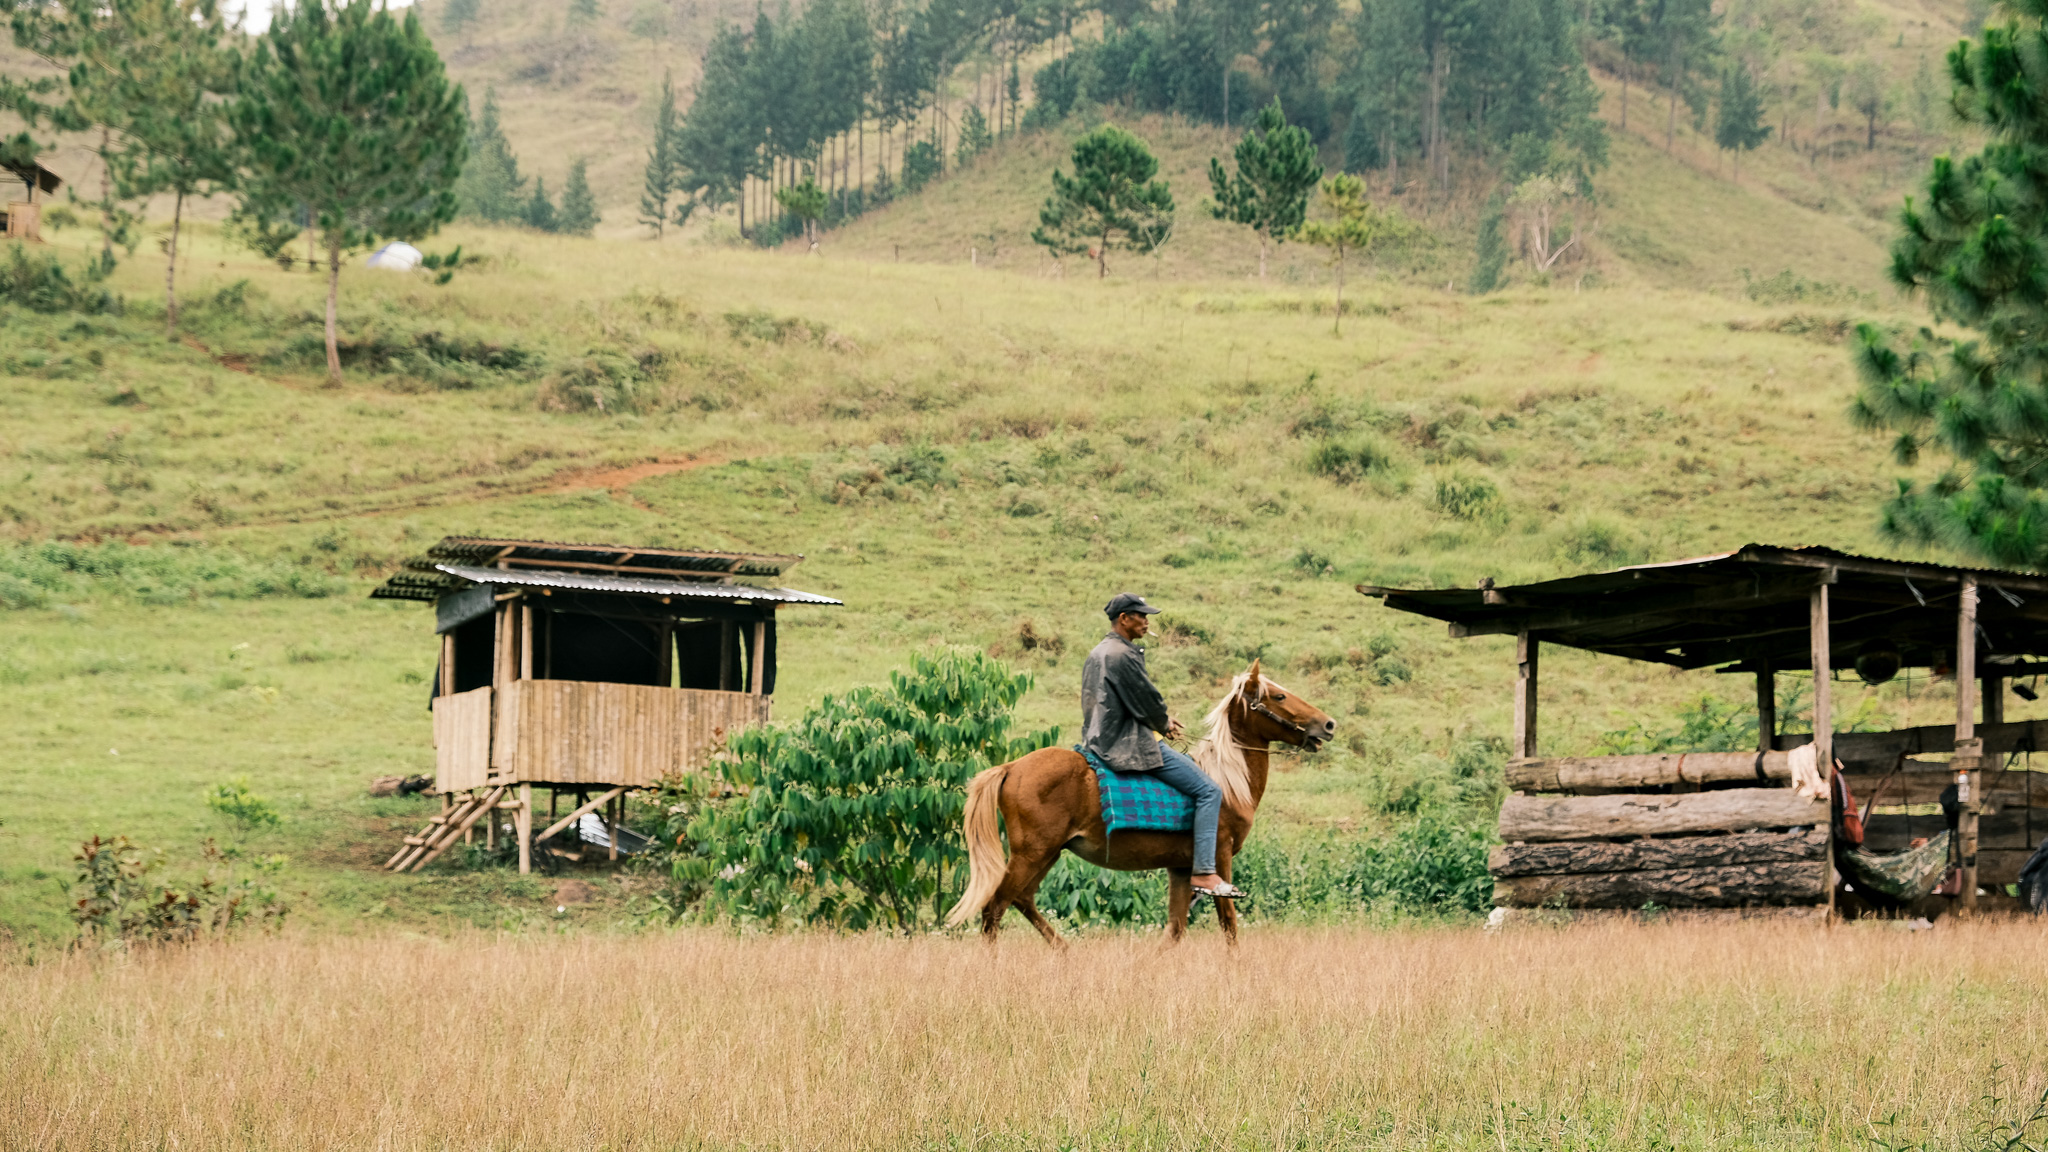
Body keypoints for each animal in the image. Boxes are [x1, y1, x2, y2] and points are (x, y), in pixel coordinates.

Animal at [937, 660, 1327, 947]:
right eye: (1278, 696)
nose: (1328, 724)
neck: (1226, 781)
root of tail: (1011, 767)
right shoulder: (1219, 856)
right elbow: (1228, 921)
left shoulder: (1181, 868)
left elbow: (1174, 931)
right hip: (1032, 853)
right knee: (995, 907)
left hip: (1047, 853)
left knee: (1022, 899)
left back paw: (1064, 950)